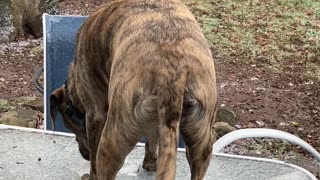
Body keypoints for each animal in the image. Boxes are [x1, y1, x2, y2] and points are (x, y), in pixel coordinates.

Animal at [50, 0, 219, 179]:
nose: (85, 155)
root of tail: (173, 74)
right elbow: (152, 137)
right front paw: (150, 163)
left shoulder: (95, 116)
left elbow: (94, 164)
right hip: (202, 143)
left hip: (112, 140)